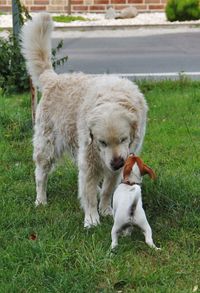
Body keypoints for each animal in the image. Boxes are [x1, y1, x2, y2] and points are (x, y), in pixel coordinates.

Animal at [21, 13, 148, 228]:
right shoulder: (90, 157)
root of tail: (53, 78)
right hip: (47, 147)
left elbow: (107, 189)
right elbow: (88, 193)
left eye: (123, 139)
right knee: (40, 175)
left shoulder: (119, 161)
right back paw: (41, 200)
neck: (112, 97)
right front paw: (91, 219)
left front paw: (106, 210)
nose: (116, 163)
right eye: (102, 142)